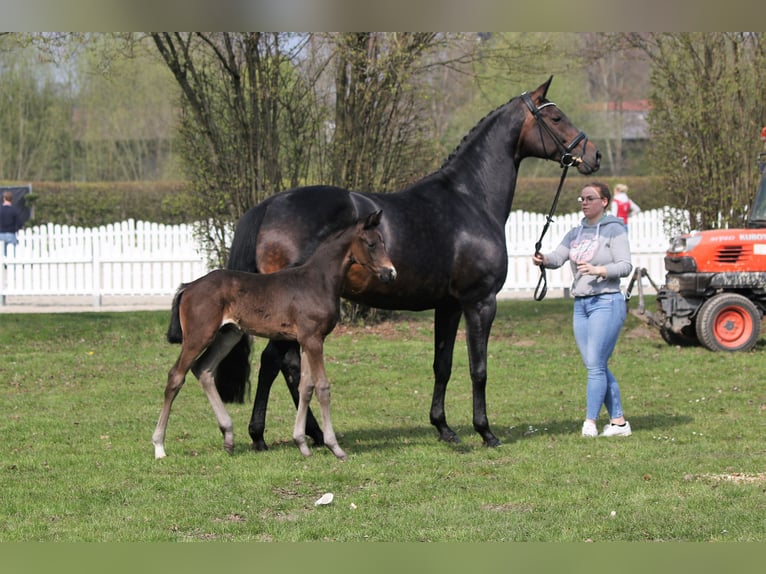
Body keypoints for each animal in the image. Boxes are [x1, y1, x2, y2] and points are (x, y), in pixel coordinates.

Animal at [154, 212, 400, 464]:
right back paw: (159, 446)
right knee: (176, 376)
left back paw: (229, 437)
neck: (318, 281)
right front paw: (335, 447)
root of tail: (189, 286)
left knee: (203, 369)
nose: (391, 273)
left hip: (228, 334)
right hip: (198, 336)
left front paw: (302, 444)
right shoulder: (314, 340)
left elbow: (306, 387)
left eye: (383, 241)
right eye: (371, 244)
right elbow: (322, 387)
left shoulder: (306, 340)